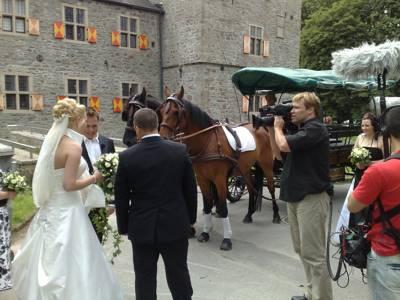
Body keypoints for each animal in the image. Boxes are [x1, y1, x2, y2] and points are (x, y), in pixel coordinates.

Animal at [158, 86, 280, 251]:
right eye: (161, 110)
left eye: (176, 112)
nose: (163, 137)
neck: (207, 141)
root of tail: (260, 127)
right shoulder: (202, 179)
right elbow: (207, 205)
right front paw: (205, 233)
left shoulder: (220, 179)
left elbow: (222, 207)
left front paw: (227, 239)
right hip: (245, 169)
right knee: (251, 187)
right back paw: (249, 214)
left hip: (266, 166)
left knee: (272, 189)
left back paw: (276, 215)